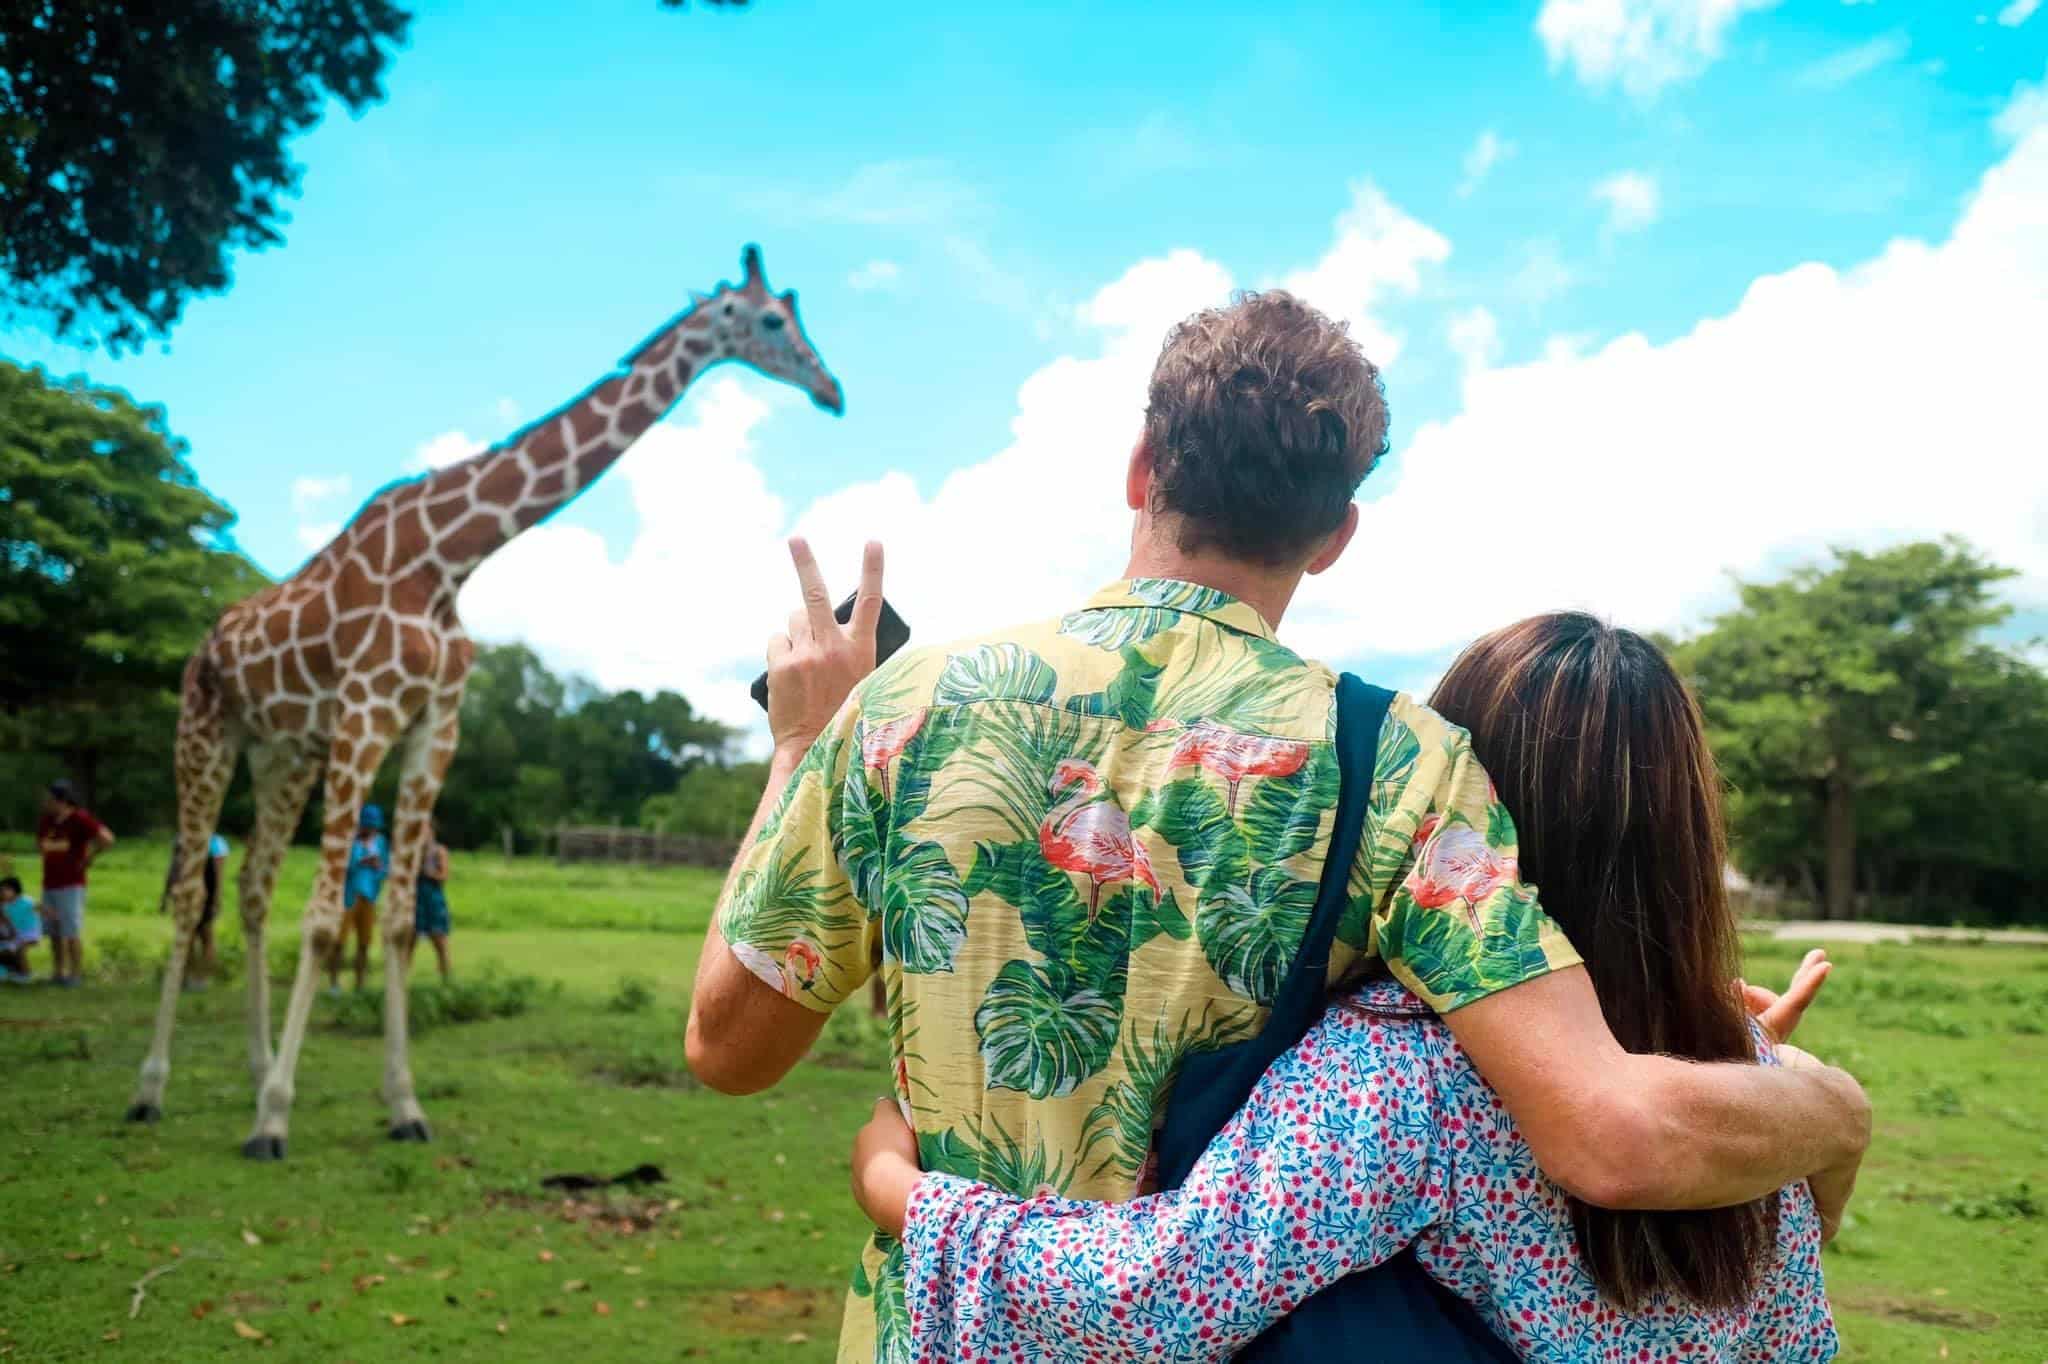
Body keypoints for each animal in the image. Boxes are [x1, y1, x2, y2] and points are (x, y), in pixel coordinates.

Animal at [126, 246, 844, 1159]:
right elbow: (323, 920)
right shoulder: (366, 712)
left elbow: (400, 918)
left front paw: (401, 1105)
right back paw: (154, 1088)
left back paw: (253, 1069)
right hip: (206, 732)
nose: (832, 388)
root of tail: (205, 645)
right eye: (772, 321)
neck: (445, 560)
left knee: (252, 889)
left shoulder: (434, 725)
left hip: (282, 752)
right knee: (192, 895)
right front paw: (276, 1120)